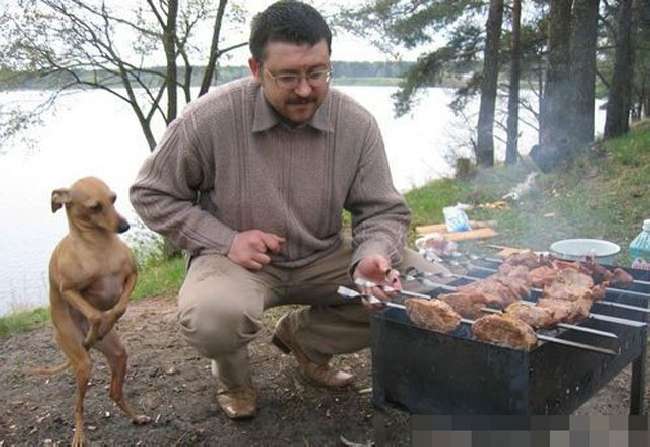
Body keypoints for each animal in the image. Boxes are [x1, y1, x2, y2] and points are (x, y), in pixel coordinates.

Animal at [37, 177, 151, 446]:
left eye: (113, 199)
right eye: (94, 207)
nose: (124, 226)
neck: (99, 249)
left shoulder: (132, 276)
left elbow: (119, 307)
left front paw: (108, 321)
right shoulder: (68, 290)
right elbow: (96, 314)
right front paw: (96, 327)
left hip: (118, 354)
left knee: (114, 392)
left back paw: (136, 417)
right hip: (82, 363)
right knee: (78, 406)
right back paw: (79, 434)